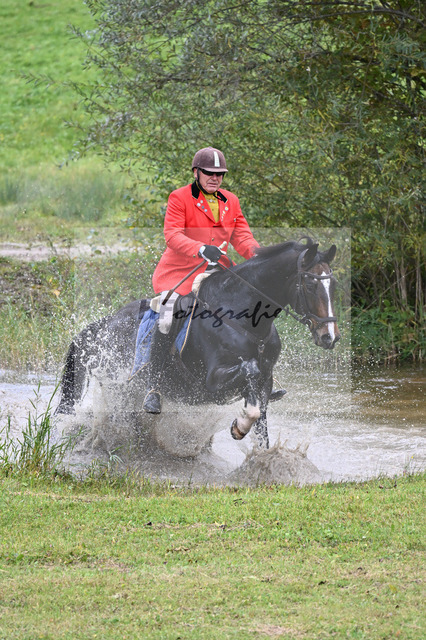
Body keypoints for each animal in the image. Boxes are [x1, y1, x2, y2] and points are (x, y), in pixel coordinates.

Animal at [55, 238, 340, 452]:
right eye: (311, 284)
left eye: (333, 284)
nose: (330, 336)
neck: (244, 320)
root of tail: (103, 324)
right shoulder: (212, 380)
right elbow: (249, 372)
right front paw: (239, 426)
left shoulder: (266, 381)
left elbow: (260, 420)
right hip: (119, 385)